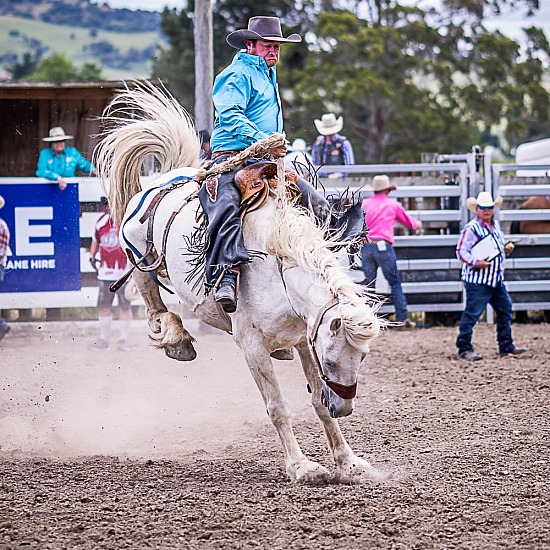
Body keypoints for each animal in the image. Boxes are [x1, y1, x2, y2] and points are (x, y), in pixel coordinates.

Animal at [95, 81, 386, 484]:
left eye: (363, 355)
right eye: (331, 356)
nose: (344, 407)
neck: (279, 267)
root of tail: (167, 178)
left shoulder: (302, 338)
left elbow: (316, 400)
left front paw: (348, 463)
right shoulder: (252, 347)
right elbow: (278, 406)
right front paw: (301, 467)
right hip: (139, 255)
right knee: (153, 302)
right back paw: (177, 339)